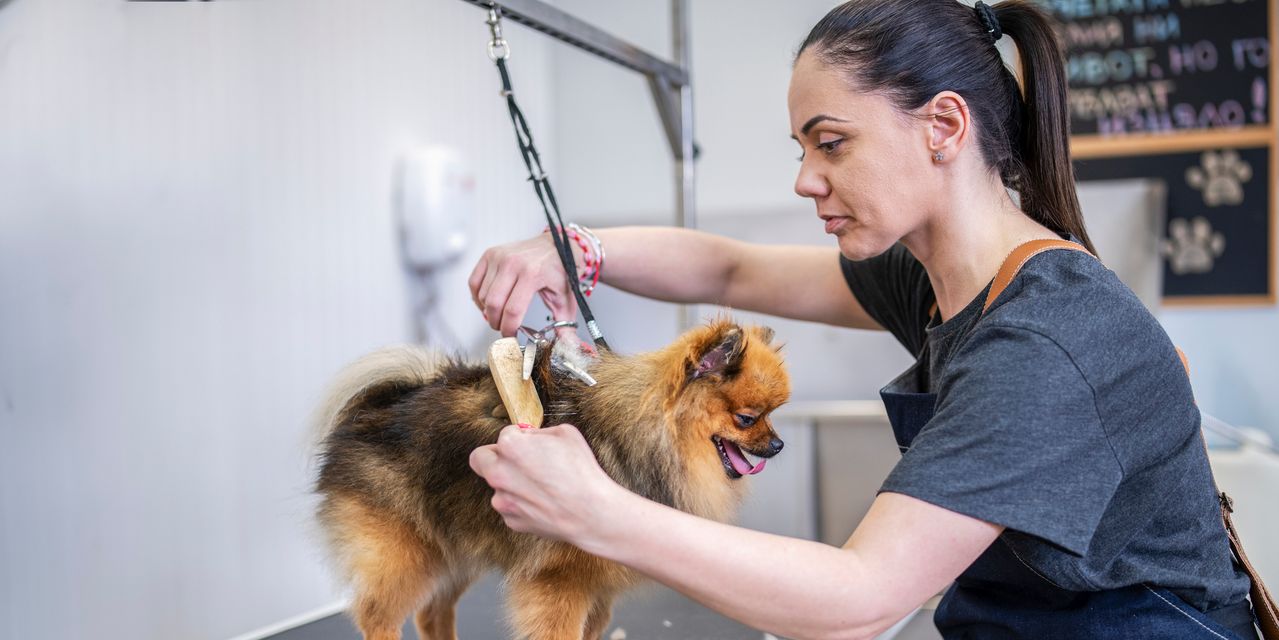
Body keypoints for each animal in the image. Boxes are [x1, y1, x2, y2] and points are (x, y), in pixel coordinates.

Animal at [313, 319, 791, 640]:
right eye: (748, 419)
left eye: (773, 416)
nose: (779, 444)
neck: (648, 437)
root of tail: (377, 406)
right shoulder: (559, 584)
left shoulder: (598, 590)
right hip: (406, 554)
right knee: (377, 614)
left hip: (454, 550)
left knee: (431, 615)